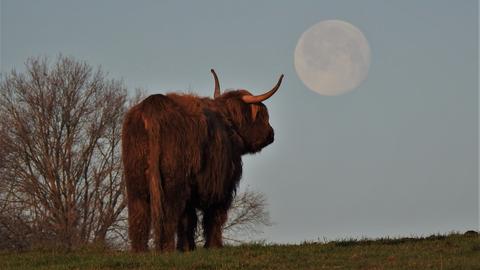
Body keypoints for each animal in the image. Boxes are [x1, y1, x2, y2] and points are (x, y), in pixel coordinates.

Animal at [122, 70, 284, 252]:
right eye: (262, 115)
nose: (271, 134)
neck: (229, 123)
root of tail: (153, 105)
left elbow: (188, 220)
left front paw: (187, 248)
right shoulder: (222, 186)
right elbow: (213, 216)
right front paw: (213, 246)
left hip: (135, 182)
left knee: (139, 214)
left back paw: (140, 251)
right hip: (173, 182)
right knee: (169, 214)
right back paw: (167, 249)